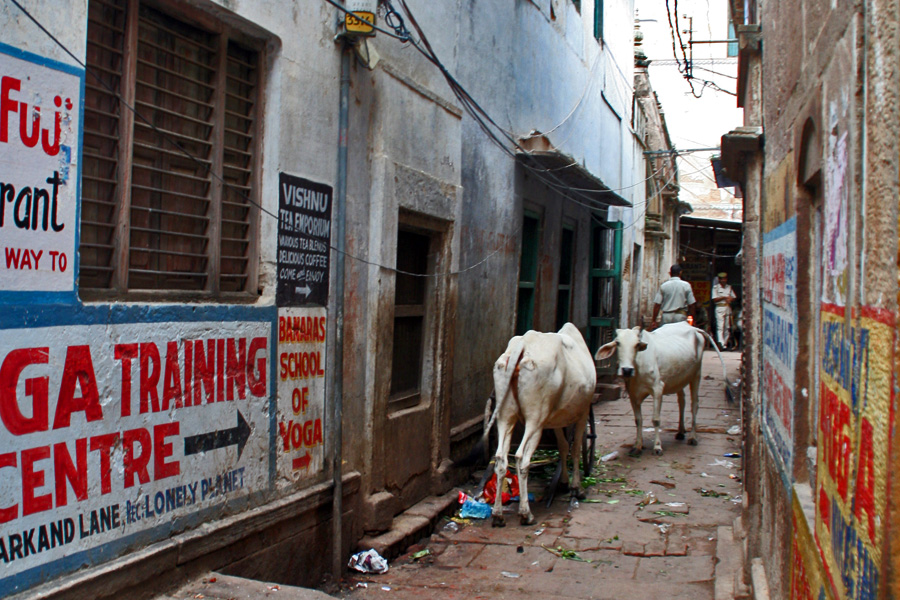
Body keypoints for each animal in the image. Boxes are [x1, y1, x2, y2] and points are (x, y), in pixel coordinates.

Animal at [486, 324, 596, 524]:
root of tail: (522, 344)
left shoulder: (555, 419)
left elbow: (563, 446)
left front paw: (564, 482)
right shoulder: (583, 412)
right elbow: (575, 448)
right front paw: (576, 488)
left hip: (506, 415)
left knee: (500, 458)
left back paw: (498, 515)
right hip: (535, 419)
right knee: (521, 457)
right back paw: (526, 513)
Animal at [596, 324, 728, 454]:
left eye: (637, 344)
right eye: (618, 343)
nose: (627, 370)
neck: (638, 365)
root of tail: (693, 328)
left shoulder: (657, 389)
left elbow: (656, 419)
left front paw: (657, 446)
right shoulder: (633, 393)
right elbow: (638, 420)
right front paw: (637, 446)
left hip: (696, 375)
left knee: (694, 404)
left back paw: (692, 437)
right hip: (679, 379)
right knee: (682, 401)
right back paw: (681, 431)